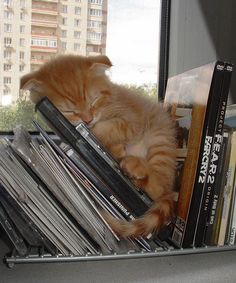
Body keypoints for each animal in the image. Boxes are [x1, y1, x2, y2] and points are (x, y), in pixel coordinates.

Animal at [20, 54, 177, 239]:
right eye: (70, 112)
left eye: (93, 101)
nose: (88, 119)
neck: (106, 104)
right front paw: (114, 148)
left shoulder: (133, 119)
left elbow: (109, 127)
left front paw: (93, 132)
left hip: (160, 139)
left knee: (160, 186)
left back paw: (135, 165)